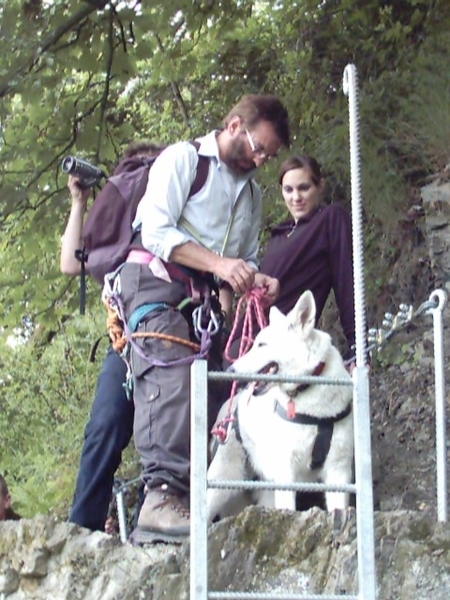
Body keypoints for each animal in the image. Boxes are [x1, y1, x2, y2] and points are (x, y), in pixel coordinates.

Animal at [206, 290, 354, 520]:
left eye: (262, 345)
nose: (230, 370)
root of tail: (229, 408)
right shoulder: (287, 469)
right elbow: (289, 509)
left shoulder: (338, 469)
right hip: (222, 481)